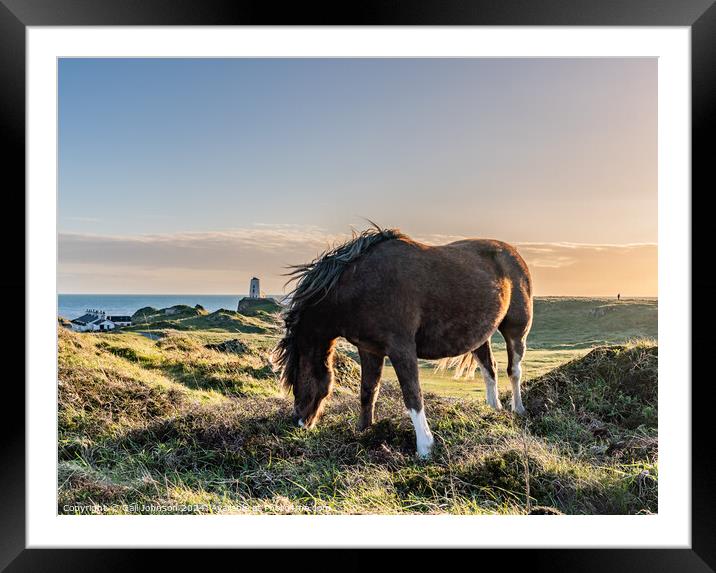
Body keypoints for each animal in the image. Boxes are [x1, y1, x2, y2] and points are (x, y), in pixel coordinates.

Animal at [274, 226, 532, 458]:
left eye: (297, 380)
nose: (299, 423)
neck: (360, 286)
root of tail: (513, 253)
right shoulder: (369, 350)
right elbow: (368, 391)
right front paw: (364, 432)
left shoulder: (402, 349)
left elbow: (412, 395)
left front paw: (425, 447)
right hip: (479, 336)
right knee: (490, 369)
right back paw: (494, 410)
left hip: (516, 329)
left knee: (514, 370)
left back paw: (518, 410)